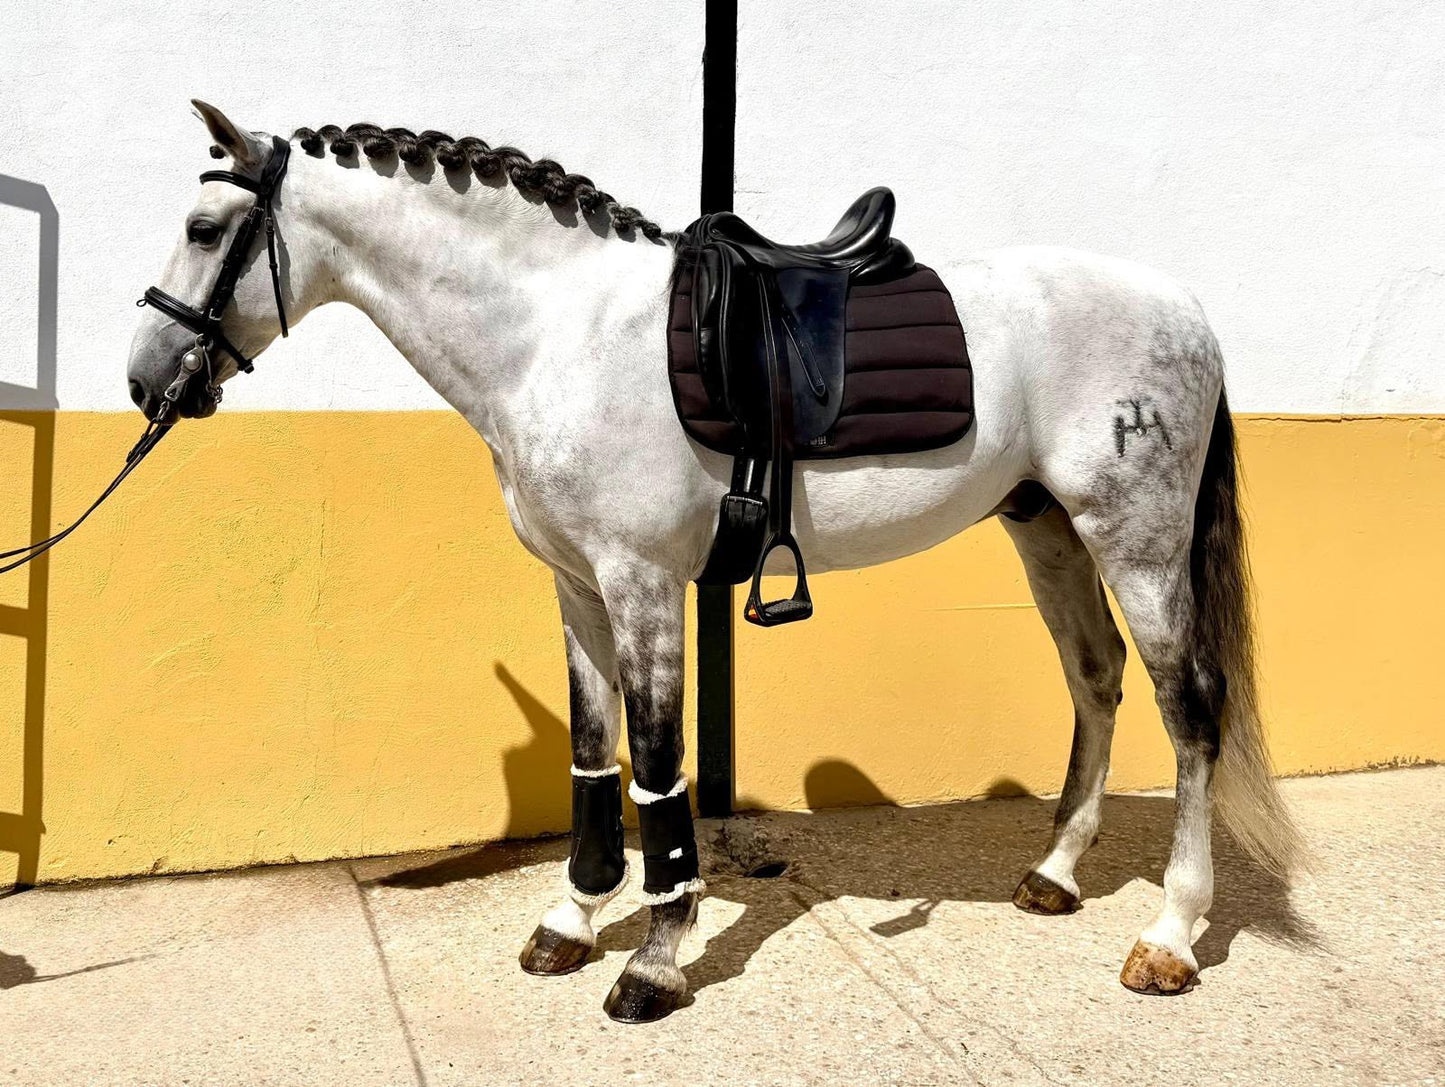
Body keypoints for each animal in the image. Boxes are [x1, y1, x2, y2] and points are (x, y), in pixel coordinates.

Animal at [124, 101, 1302, 1022]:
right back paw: (1053, 874)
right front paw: (571, 917)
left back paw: (1168, 936)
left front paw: (652, 962)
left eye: (202, 227)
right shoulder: (575, 585)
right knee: (1095, 678)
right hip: (1045, 526)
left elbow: (655, 765)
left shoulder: (643, 581)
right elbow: (593, 756)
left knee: (1189, 709)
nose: (145, 379)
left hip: (1135, 540)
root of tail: (1184, 308)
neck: (556, 331)